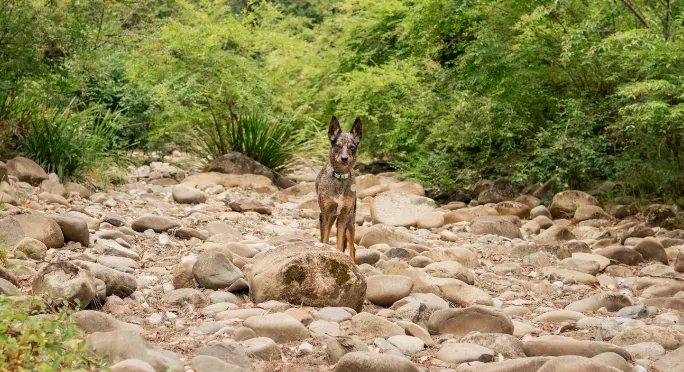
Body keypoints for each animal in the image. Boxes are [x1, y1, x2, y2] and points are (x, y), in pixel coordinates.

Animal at [318, 116, 364, 262]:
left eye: (352, 147)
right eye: (337, 145)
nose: (344, 158)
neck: (340, 177)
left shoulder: (344, 216)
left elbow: (339, 244)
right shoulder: (324, 214)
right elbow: (324, 239)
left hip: (350, 221)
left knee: (352, 248)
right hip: (332, 218)